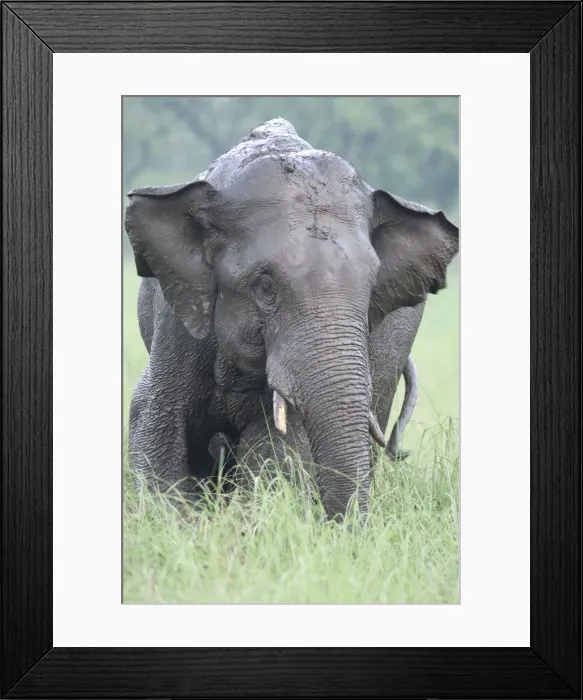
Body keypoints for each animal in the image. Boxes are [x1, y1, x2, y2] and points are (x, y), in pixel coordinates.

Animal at [125, 117, 458, 518]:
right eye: (265, 287)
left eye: (372, 287)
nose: (342, 527)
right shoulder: (176, 323)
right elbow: (155, 421)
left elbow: (276, 446)